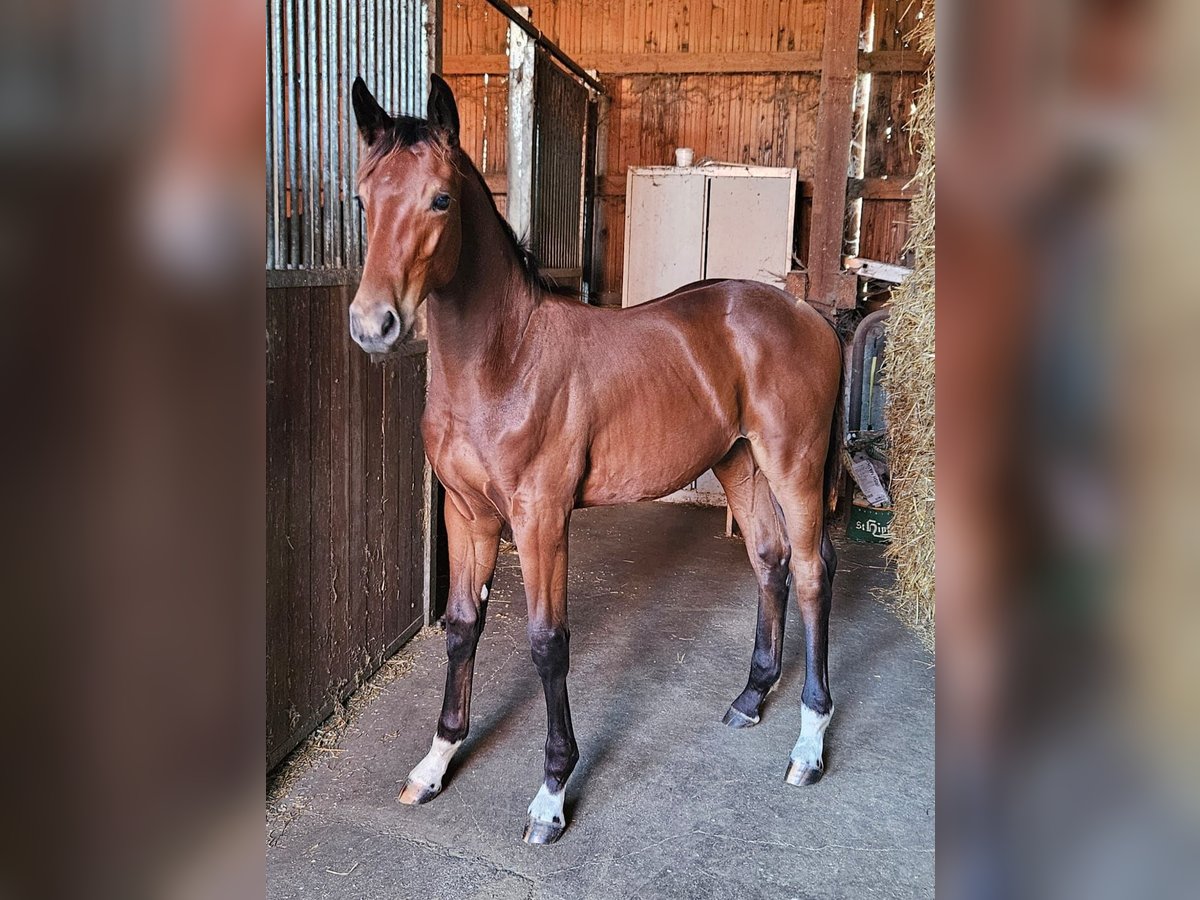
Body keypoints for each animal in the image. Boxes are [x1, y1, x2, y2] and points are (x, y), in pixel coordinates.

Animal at [348, 75, 844, 844]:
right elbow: (461, 627)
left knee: (816, 570)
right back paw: (750, 697)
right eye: (363, 199)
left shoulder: (541, 519)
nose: (374, 326)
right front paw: (436, 762)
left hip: (793, 462)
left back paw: (809, 745)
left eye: (441, 199)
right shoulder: (468, 514)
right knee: (771, 561)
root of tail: (807, 312)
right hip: (738, 462)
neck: (504, 360)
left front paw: (552, 792)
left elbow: (548, 642)